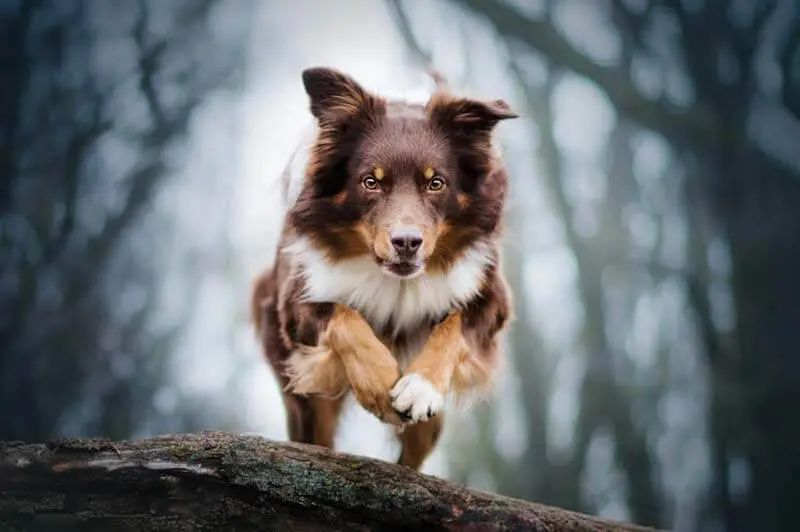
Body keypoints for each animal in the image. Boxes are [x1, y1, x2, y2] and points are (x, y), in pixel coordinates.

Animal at [255, 66, 520, 470]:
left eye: (436, 183)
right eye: (371, 182)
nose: (407, 242)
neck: (398, 281)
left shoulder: (490, 296)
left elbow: (453, 325)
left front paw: (420, 387)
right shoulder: (297, 300)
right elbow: (344, 315)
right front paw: (380, 385)